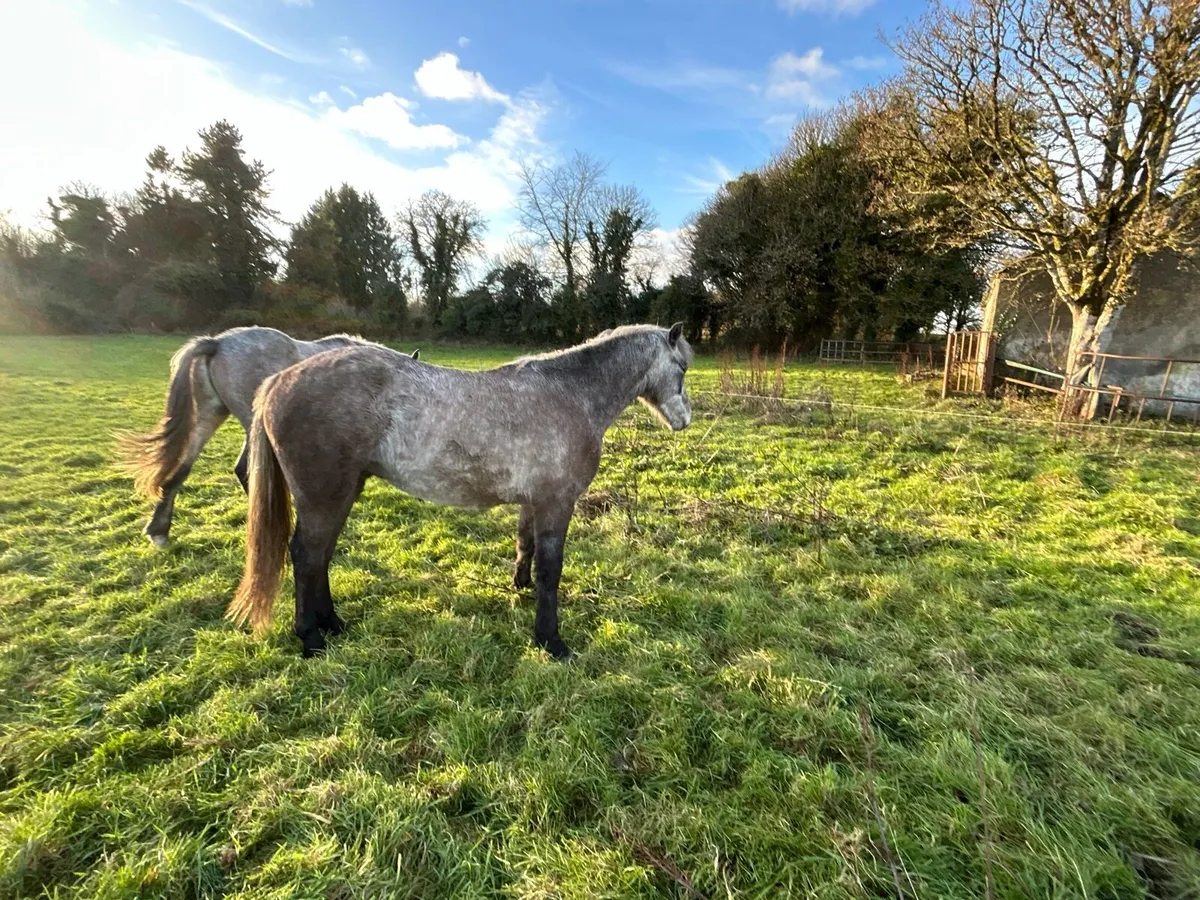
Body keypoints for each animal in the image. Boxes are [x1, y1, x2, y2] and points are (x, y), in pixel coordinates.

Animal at [227, 322, 694, 660]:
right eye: (684, 368)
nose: (684, 420)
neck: (570, 394)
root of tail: (277, 381)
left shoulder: (535, 502)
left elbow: (525, 547)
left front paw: (520, 588)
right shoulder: (556, 502)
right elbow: (551, 571)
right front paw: (551, 641)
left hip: (341, 492)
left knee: (320, 556)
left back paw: (333, 625)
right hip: (324, 495)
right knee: (307, 556)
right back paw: (311, 638)